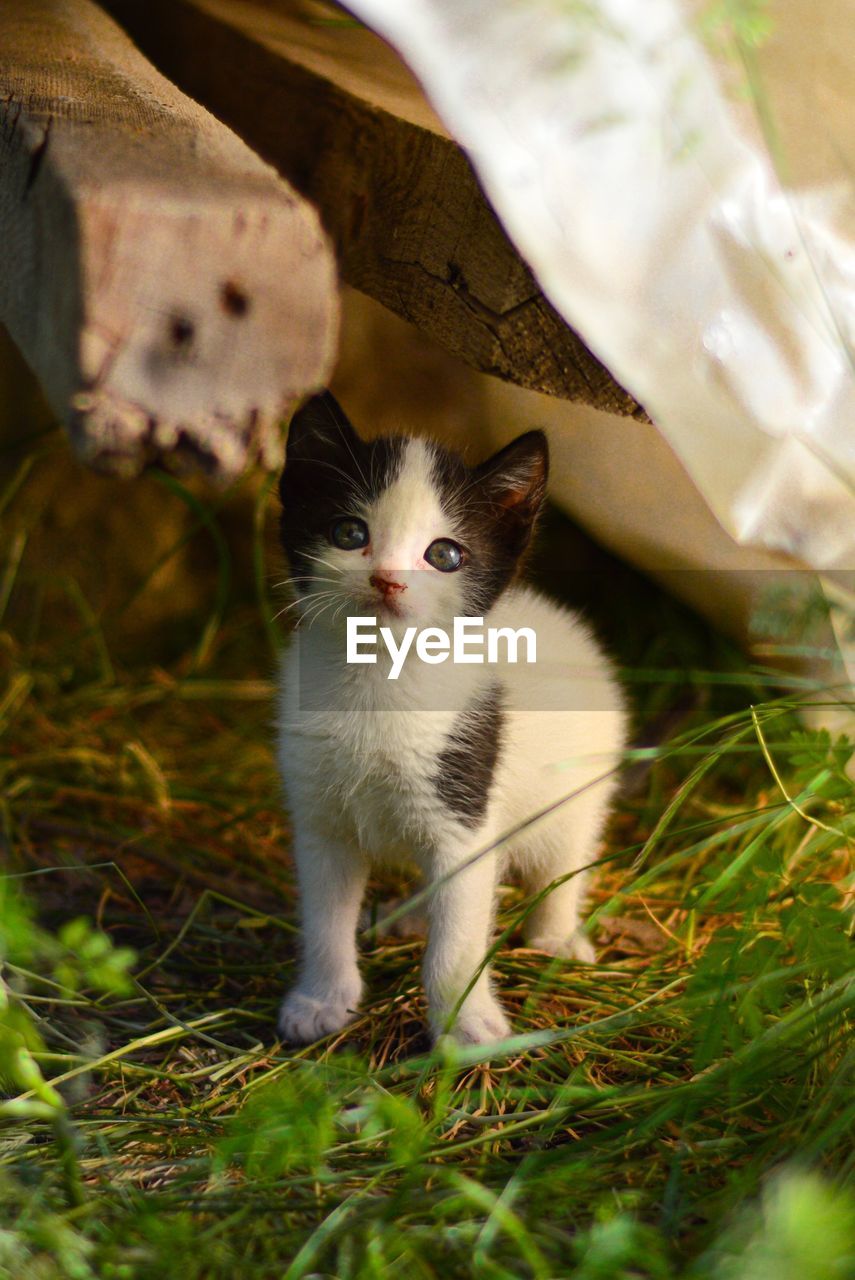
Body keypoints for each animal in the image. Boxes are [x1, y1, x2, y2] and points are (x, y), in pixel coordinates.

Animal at [277, 394, 624, 1044]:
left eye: (444, 555)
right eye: (348, 533)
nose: (387, 579)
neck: (378, 679)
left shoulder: (466, 809)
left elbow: (459, 938)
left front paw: (466, 1025)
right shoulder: (320, 817)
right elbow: (324, 918)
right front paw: (321, 1000)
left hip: (579, 790)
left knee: (563, 859)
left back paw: (556, 936)